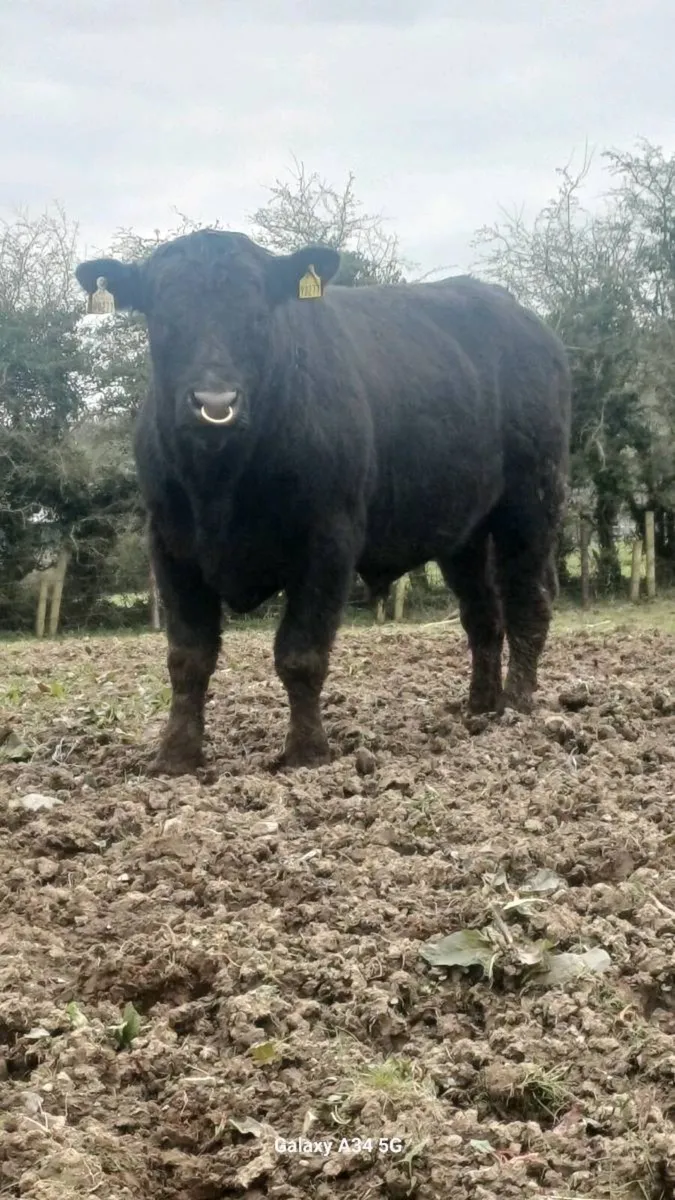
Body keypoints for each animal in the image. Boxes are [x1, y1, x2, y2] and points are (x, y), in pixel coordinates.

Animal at [76, 231, 571, 776]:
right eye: (162, 314)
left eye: (259, 314)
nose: (215, 403)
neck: (221, 482)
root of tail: (524, 318)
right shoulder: (170, 543)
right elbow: (188, 656)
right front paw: (175, 756)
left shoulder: (329, 539)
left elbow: (301, 653)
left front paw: (306, 753)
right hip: (464, 532)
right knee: (482, 615)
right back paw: (481, 707)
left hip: (531, 501)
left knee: (528, 602)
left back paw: (518, 710)